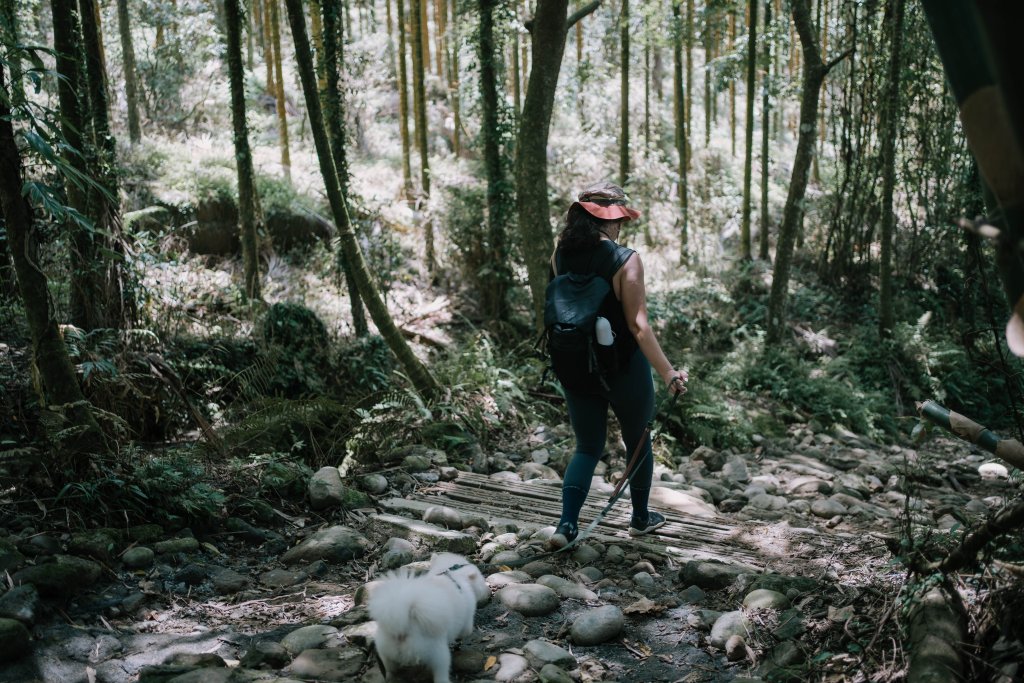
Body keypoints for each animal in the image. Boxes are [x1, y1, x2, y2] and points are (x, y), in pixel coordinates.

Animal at [370, 552, 489, 683]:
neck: (452, 574)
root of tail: (402, 630)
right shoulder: (467, 619)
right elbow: (466, 631)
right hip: (438, 654)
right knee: (441, 672)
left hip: (384, 651)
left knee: (389, 669)